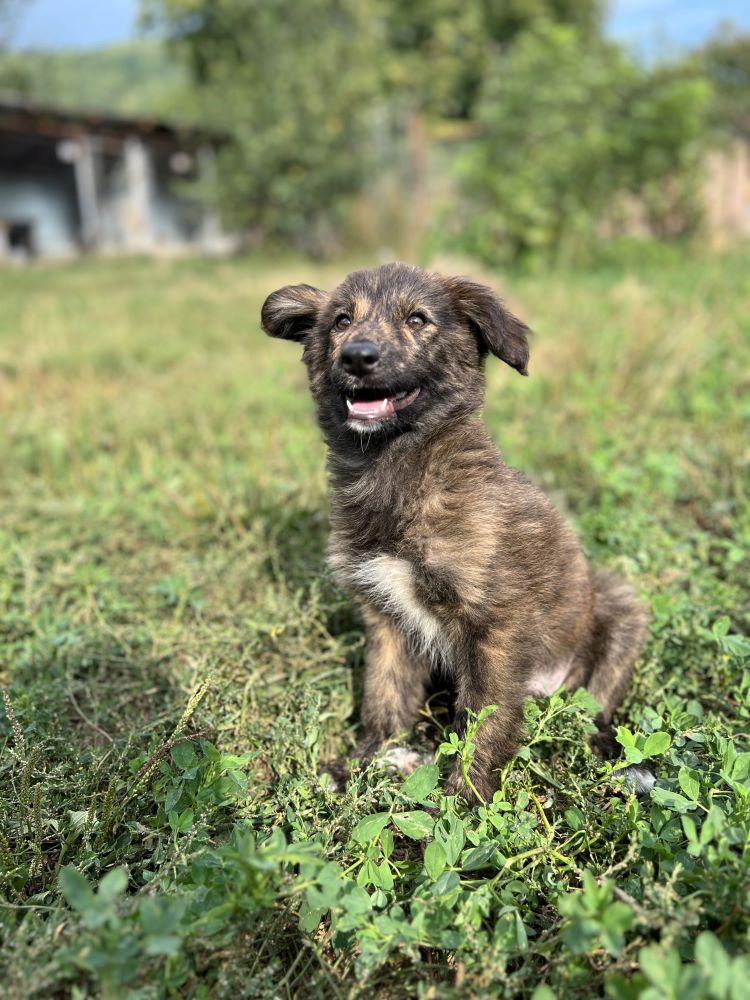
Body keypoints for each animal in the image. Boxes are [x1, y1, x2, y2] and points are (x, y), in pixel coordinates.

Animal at [262, 264, 652, 804]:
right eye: (341, 320)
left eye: (417, 319)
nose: (357, 356)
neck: (395, 471)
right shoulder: (385, 616)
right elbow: (383, 694)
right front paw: (368, 762)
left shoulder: (498, 624)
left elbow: (485, 722)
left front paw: (463, 803)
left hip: (618, 604)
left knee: (595, 710)